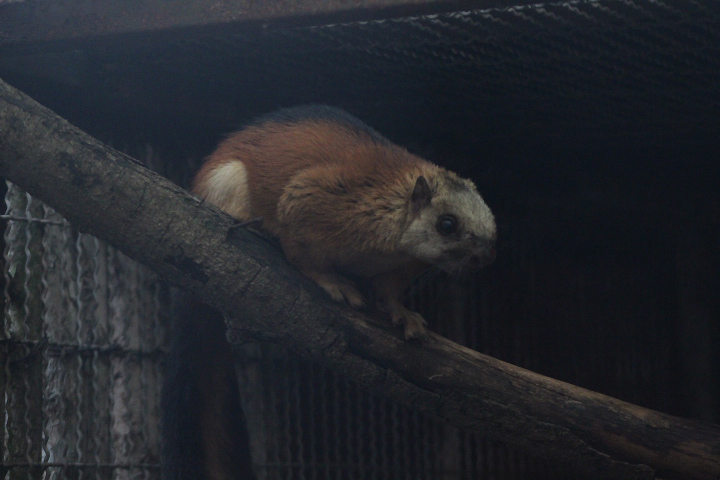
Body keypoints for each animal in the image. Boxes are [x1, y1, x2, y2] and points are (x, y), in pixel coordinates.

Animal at [162, 105, 496, 480]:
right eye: (447, 224)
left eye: (492, 223)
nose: (485, 257)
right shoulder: (310, 197)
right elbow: (302, 253)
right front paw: (333, 282)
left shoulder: (402, 267)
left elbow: (388, 294)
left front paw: (403, 314)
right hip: (226, 183)